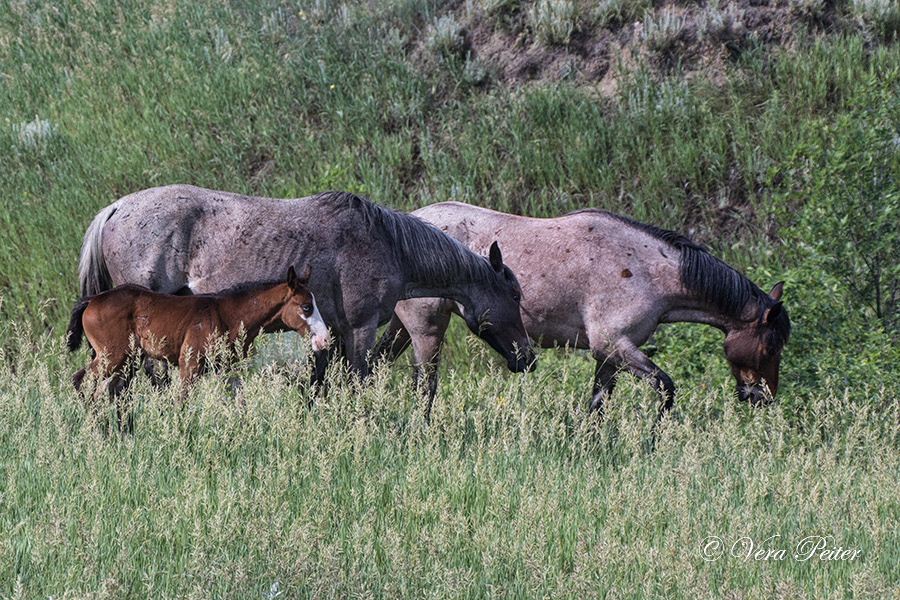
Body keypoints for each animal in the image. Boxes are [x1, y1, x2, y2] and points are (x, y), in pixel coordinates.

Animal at [67, 264, 328, 396]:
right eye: (306, 307)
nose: (324, 339)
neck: (228, 315)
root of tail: (92, 299)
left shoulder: (225, 370)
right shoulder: (189, 365)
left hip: (126, 360)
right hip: (112, 356)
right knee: (81, 380)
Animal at [77, 185, 536, 380]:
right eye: (514, 295)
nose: (528, 359)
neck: (387, 243)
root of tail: (115, 208)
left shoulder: (332, 330)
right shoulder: (360, 328)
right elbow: (356, 382)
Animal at [376, 204, 792, 414]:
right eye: (771, 346)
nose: (763, 397)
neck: (647, 270)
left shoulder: (609, 358)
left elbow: (595, 408)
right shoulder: (614, 346)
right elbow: (666, 388)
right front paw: (651, 445)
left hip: (401, 327)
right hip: (427, 329)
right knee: (424, 388)